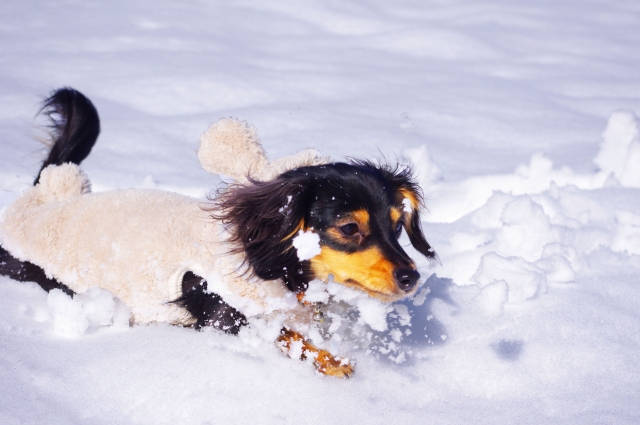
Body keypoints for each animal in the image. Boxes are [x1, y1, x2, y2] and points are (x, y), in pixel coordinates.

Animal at [0, 88, 436, 376]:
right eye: (349, 227)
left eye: (397, 225)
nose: (411, 277)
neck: (271, 265)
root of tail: (45, 195)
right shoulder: (224, 313)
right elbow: (284, 334)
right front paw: (330, 360)